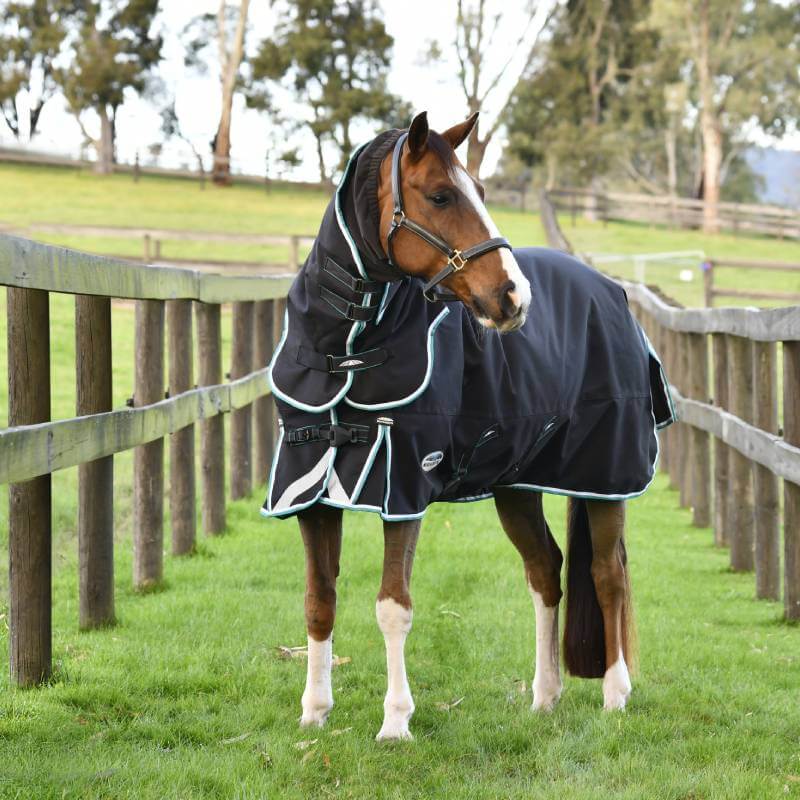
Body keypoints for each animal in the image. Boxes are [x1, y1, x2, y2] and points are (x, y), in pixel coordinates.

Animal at [262, 111, 673, 740]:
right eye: (440, 194)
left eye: (478, 190)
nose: (513, 296)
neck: (347, 351)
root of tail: (612, 291)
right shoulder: (309, 487)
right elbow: (318, 600)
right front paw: (314, 713)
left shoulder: (402, 486)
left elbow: (393, 606)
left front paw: (396, 722)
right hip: (517, 485)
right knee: (545, 571)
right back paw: (544, 697)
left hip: (605, 477)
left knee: (608, 576)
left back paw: (615, 694)